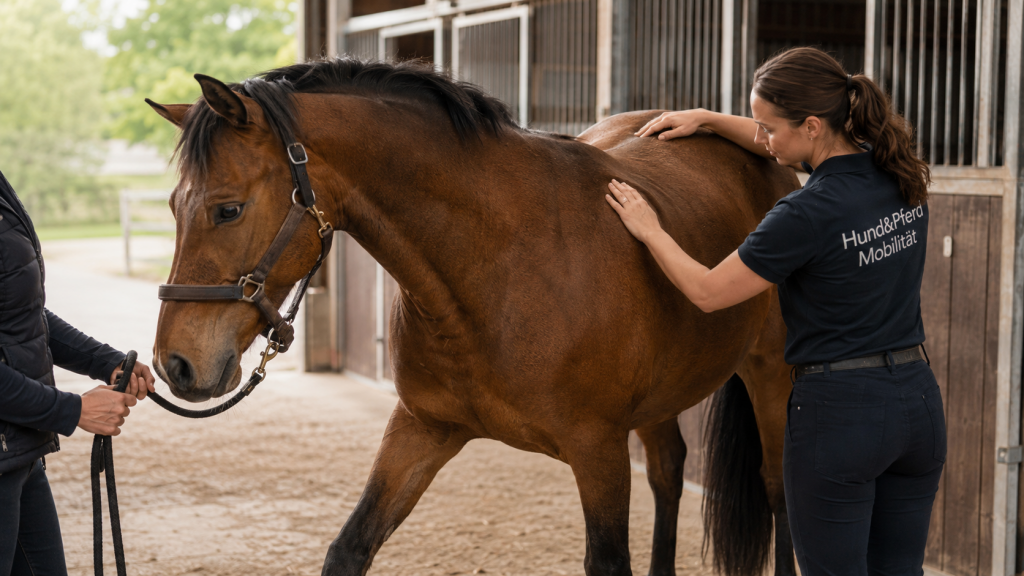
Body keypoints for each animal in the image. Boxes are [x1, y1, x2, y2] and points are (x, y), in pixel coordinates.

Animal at [148, 58, 799, 576]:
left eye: (227, 209)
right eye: (175, 206)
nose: (175, 364)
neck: (498, 263)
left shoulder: (600, 452)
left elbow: (610, 561)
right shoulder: (421, 428)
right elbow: (350, 548)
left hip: (771, 374)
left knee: (778, 488)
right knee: (668, 472)